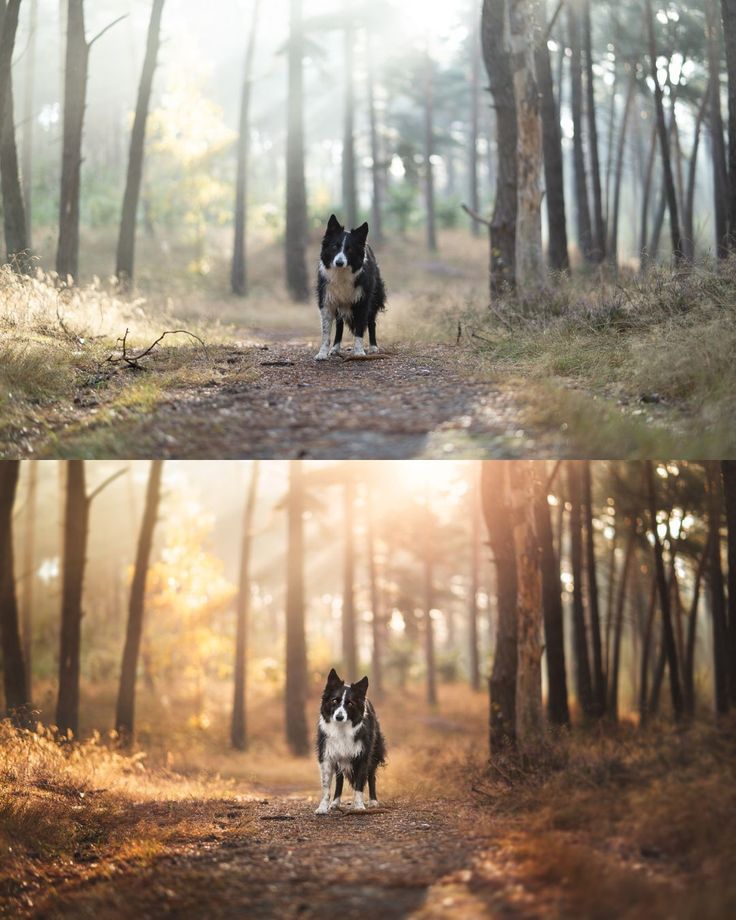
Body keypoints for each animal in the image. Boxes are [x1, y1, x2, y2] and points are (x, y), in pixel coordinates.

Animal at [314, 214, 388, 362]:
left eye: (350, 249)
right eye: (334, 247)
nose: (339, 262)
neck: (341, 273)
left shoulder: (362, 301)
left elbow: (359, 329)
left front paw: (359, 352)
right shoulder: (327, 301)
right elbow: (326, 332)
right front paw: (322, 353)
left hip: (375, 298)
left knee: (371, 322)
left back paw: (373, 347)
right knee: (339, 325)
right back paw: (335, 348)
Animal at [314, 668, 388, 812]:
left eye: (350, 703)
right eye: (334, 701)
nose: (339, 717)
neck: (342, 728)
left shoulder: (362, 756)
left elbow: (359, 784)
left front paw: (359, 806)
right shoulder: (327, 755)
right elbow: (326, 787)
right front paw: (322, 808)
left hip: (374, 752)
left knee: (371, 776)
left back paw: (373, 801)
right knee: (339, 780)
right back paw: (335, 803)